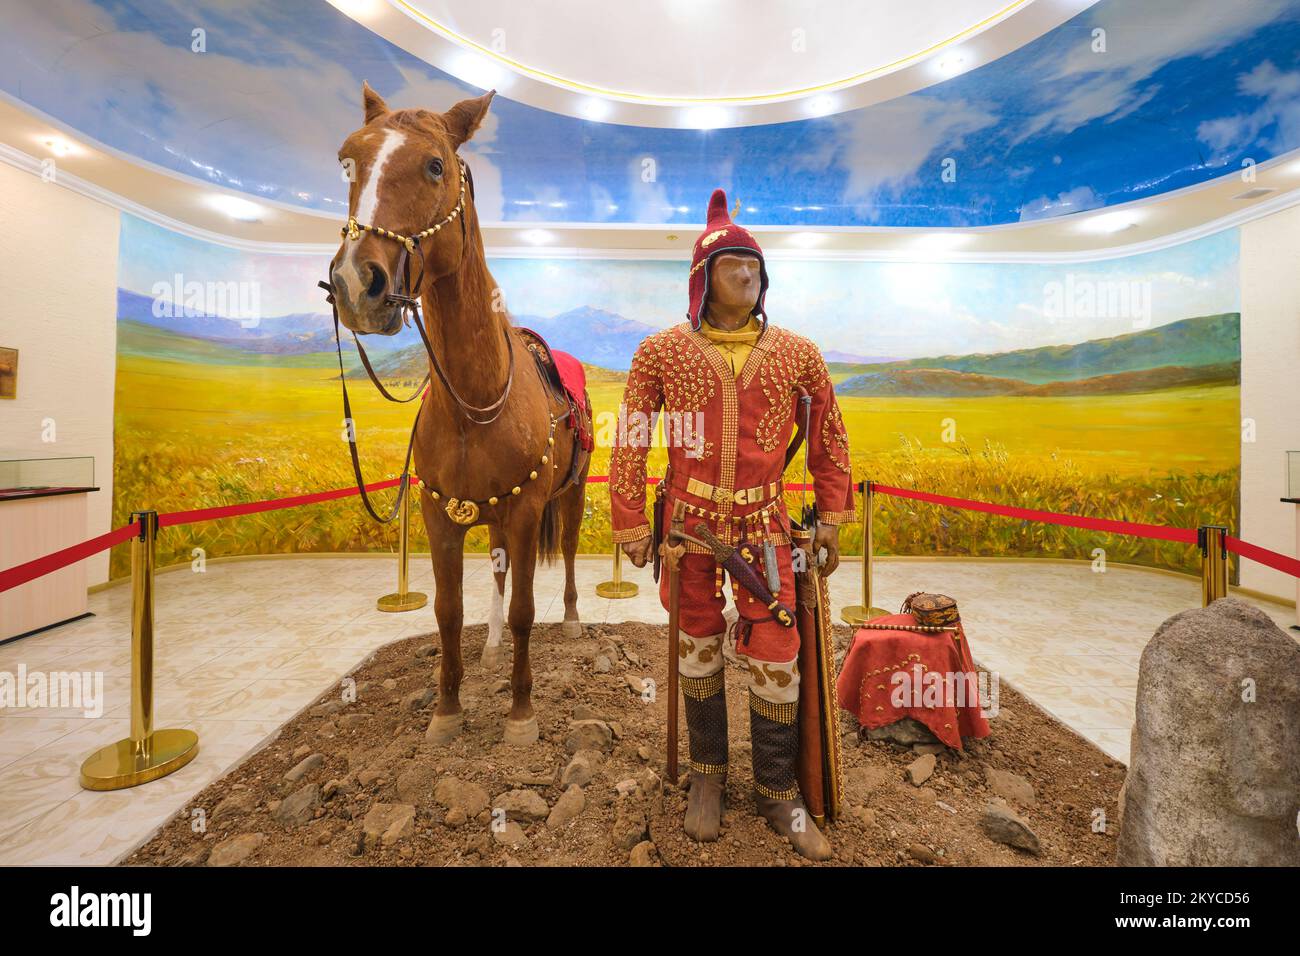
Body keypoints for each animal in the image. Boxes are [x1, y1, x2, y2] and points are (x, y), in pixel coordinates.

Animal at [330, 83, 590, 749]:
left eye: (435, 165)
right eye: (348, 161)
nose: (356, 284)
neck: (473, 401)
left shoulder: (526, 510)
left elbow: (526, 607)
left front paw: (521, 714)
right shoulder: (439, 513)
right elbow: (449, 611)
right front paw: (446, 710)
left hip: (568, 496)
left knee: (567, 550)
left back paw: (572, 619)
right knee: (496, 571)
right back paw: (493, 647)